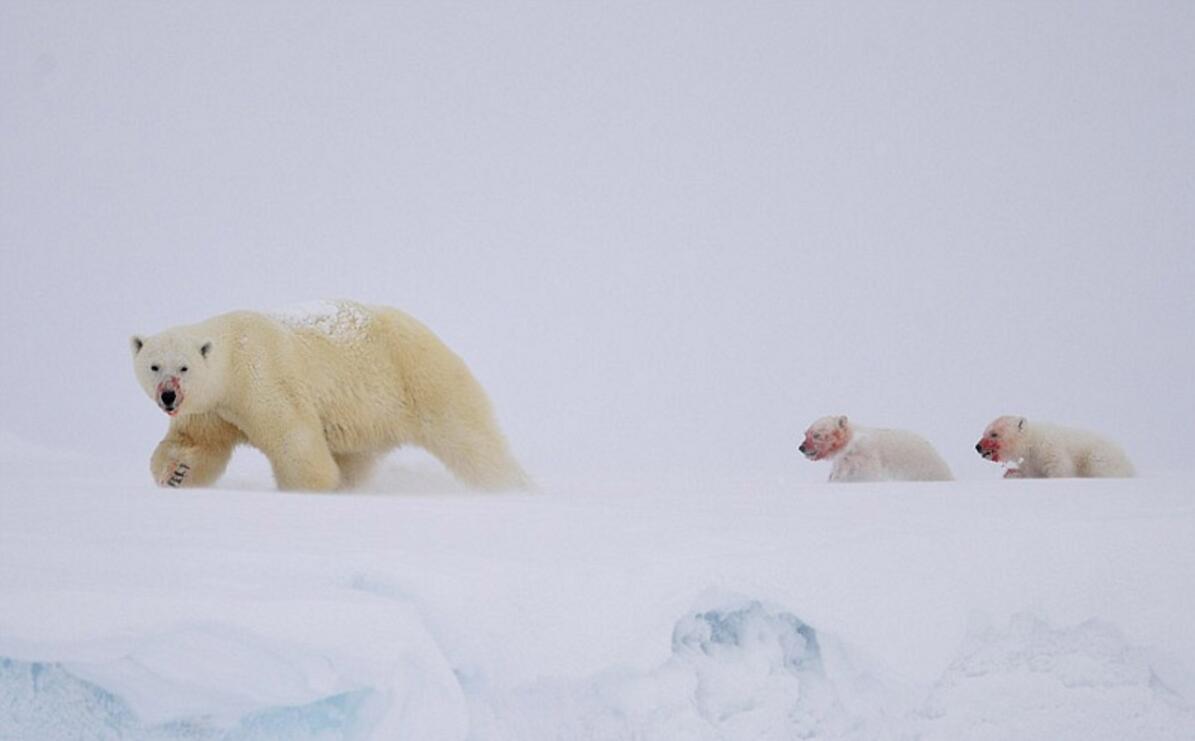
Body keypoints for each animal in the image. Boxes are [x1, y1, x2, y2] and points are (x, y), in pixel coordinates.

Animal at [130, 301, 528, 492]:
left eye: (183, 367)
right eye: (154, 366)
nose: (168, 396)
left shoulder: (262, 379)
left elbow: (295, 441)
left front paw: (308, 491)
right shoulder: (214, 407)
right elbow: (196, 440)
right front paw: (175, 473)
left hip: (422, 380)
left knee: (475, 444)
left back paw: (515, 488)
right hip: (368, 422)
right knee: (355, 460)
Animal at [798, 413, 956, 482]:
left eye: (817, 435)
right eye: (806, 433)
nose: (801, 447)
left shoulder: (864, 455)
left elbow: (865, 474)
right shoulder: (843, 460)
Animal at [975, 413, 1132, 478]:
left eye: (994, 434)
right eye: (984, 431)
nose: (978, 447)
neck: (1031, 442)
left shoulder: (1049, 448)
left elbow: (1060, 469)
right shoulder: (1030, 463)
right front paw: (1011, 473)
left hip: (1099, 457)